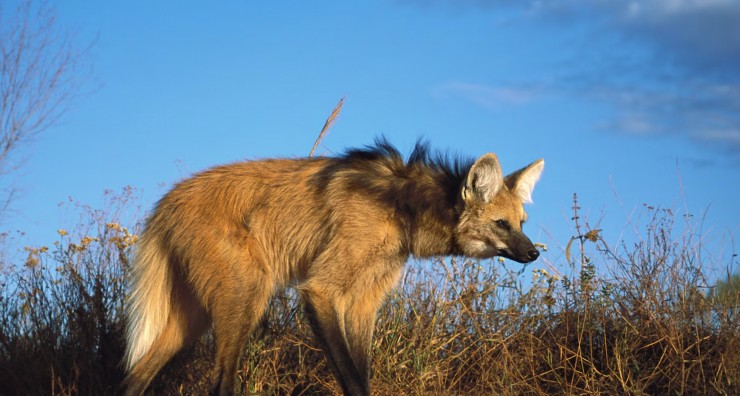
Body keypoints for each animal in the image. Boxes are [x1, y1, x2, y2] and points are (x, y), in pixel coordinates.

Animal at [123, 138, 544, 394]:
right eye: (501, 223)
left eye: (522, 222)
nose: (534, 253)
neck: (403, 208)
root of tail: (167, 202)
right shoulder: (322, 290)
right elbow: (352, 379)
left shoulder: (362, 302)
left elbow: (362, 374)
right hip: (245, 298)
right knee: (219, 382)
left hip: (193, 317)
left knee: (136, 375)